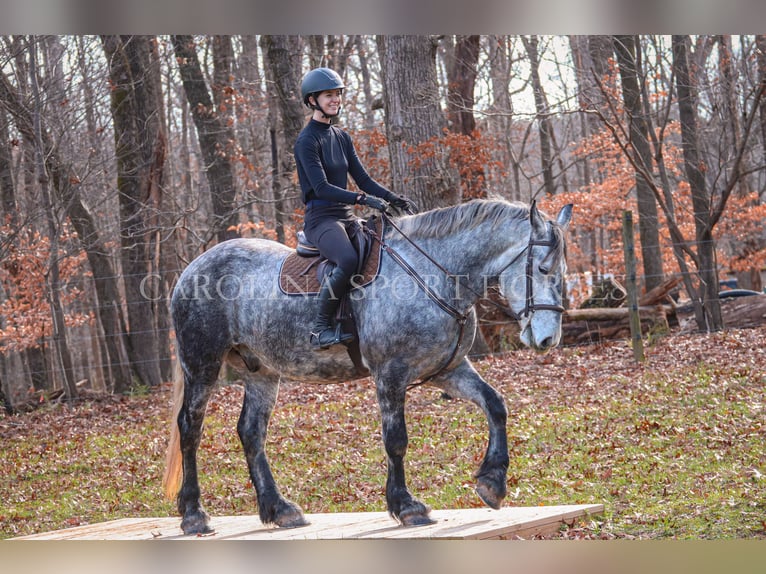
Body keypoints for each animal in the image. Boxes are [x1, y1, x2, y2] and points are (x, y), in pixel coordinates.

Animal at [166, 200, 576, 536]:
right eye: (542, 269)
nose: (547, 339)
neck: (433, 273)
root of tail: (192, 268)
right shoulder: (390, 374)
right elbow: (396, 440)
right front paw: (407, 506)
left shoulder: (449, 369)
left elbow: (495, 406)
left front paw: (492, 483)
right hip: (202, 365)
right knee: (190, 429)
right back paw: (194, 515)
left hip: (261, 372)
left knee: (251, 432)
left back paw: (279, 510)